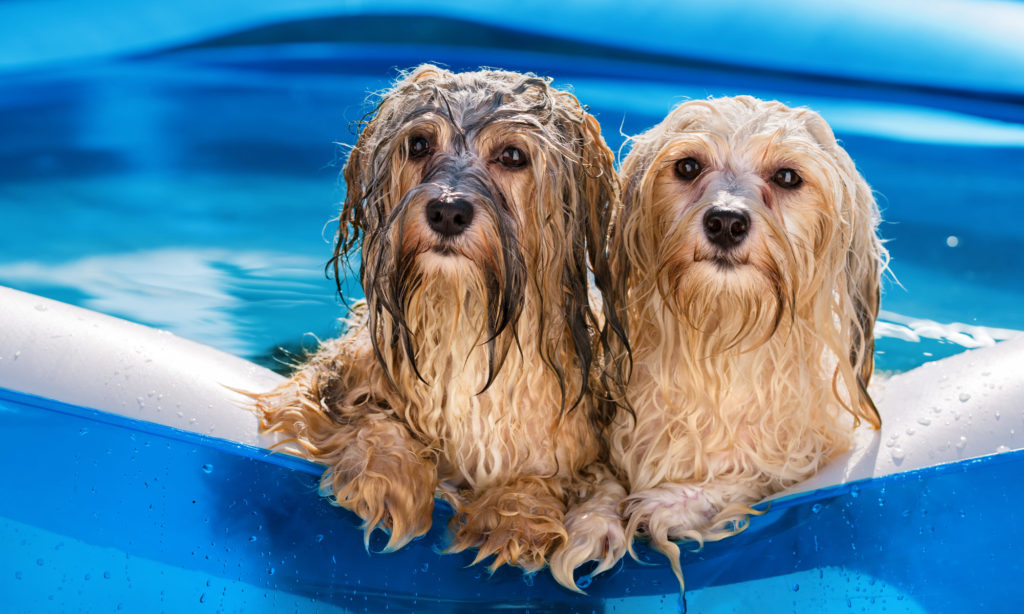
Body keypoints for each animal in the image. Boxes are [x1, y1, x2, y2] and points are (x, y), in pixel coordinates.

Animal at [606, 96, 888, 585]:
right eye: (688, 166)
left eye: (788, 176)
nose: (725, 221)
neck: (722, 346)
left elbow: (762, 474)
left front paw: (675, 502)